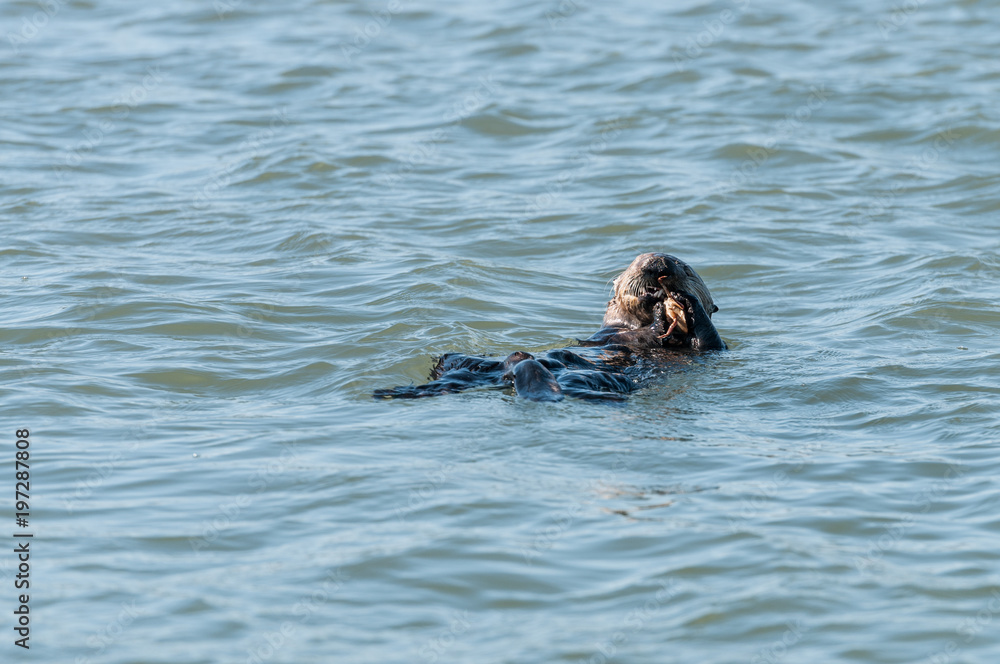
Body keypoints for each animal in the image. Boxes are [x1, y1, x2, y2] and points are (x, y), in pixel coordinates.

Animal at [373, 253, 725, 402]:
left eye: (684, 267)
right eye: (637, 262)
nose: (659, 266)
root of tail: (504, 374)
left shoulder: (710, 351)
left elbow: (709, 340)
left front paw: (682, 300)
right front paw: (657, 301)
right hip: (457, 361)